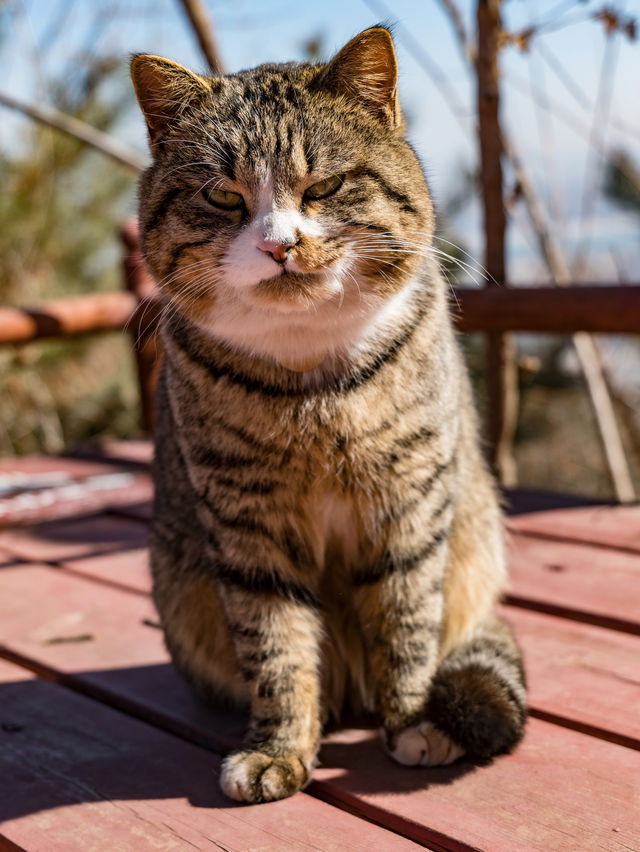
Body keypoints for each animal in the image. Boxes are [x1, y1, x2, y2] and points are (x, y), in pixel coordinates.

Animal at [129, 23, 524, 804]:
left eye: (326, 186)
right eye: (224, 195)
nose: (280, 244)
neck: (311, 381)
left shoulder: (408, 502)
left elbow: (406, 621)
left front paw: (413, 722)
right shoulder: (247, 525)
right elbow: (276, 646)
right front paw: (279, 747)